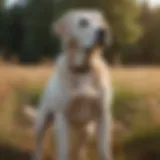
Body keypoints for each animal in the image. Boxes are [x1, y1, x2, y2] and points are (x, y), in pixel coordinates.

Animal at [33, 9, 112, 159]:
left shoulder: (103, 116)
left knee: (80, 146)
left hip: (88, 128)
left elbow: (104, 151)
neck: (83, 70)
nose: (104, 31)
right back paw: (36, 155)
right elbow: (63, 153)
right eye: (83, 22)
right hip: (42, 121)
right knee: (39, 142)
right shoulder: (63, 117)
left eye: (101, 22)